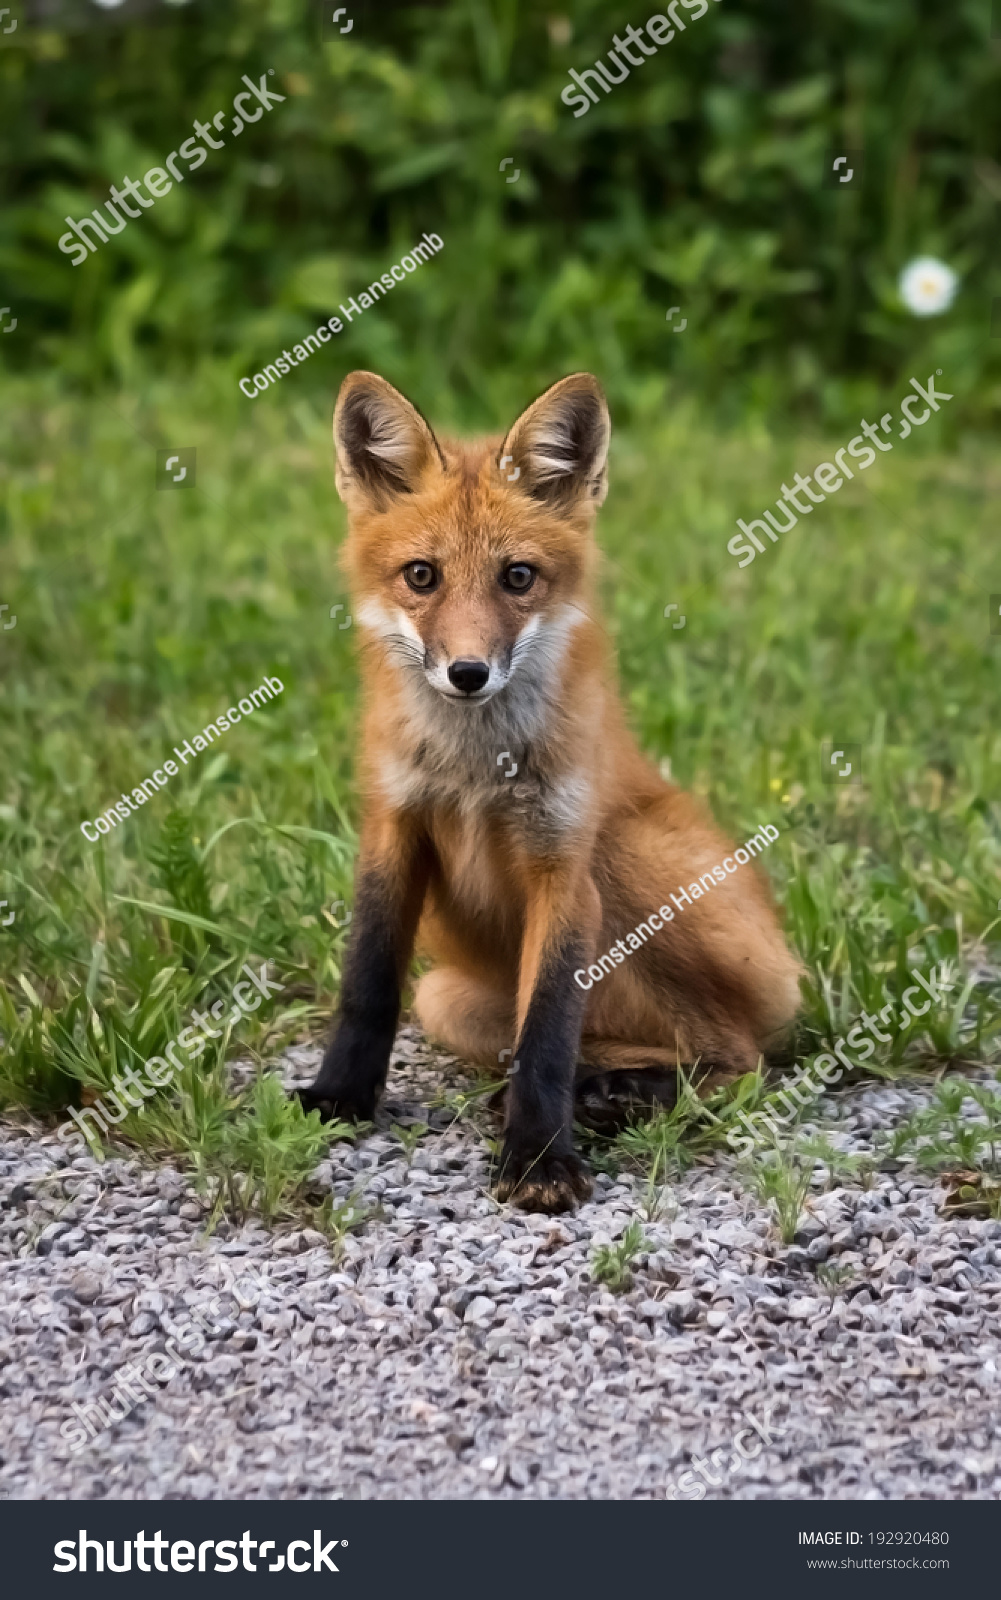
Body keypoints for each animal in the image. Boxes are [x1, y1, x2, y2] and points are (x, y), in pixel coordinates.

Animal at [297, 366, 802, 1209]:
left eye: (518, 578)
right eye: (421, 576)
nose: (467, 673)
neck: (474, 771)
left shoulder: (563, 868)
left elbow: (547, 1035)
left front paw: (537, 1158)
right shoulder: (392, 831)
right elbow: (366, 986)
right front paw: (339, 1096)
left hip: (629, 862)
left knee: (738, 1060)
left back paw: (612, 1101)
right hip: (448, 1001)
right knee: (625, 1047)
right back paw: (596, 1093)